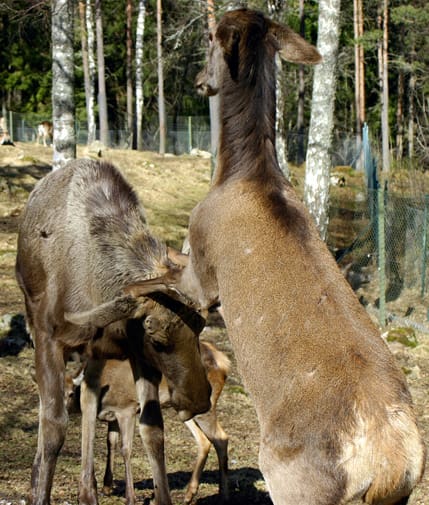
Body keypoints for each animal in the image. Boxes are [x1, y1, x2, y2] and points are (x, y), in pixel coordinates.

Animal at [15, 159, 211, 505]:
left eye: (201, 325)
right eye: (155, 336)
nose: (200, 400)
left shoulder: (136, 355)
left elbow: (153, 431)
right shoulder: (49, 338)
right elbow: (53, 425)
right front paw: (39, 492)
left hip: (95, 356)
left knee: (90, 399)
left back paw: (89, 488)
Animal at [67, 339, 230, 505]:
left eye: (71, 393)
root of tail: (224, 361)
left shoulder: (127, 408)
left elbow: (125, 449)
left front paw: (130, 497)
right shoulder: (112, 415)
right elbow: (110, 442)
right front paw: (107, 487)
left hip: (206, 404)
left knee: (221, 438)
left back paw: (223, 495)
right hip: (184, 409)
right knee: (205, 440)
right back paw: (190, 494)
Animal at [124, 9, 426, 505]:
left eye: (210, 37)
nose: (199, 80)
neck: (237, 173)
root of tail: (389, 468)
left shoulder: (203, 271)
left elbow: (159, 270)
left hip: (292, 483)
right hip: (398, 496)